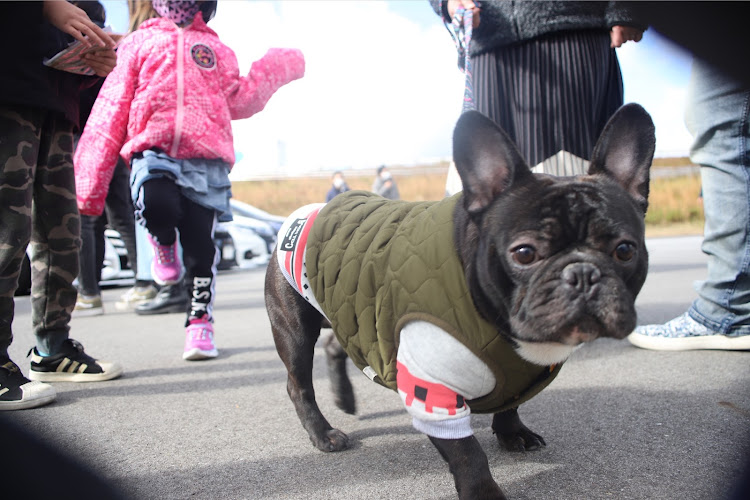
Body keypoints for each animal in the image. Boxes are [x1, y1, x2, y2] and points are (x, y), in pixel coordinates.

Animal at [268, 103, 656, 498]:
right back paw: (324, 434)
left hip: (350, 314)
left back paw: (345, 399)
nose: (582, 273)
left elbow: (511, 405)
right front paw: (483, 492)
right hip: (294, 329)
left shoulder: (518, 380)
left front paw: (513, 433)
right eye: (524, 253)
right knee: (298, 384)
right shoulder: (433, 391)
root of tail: (306, 214)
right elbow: (467, 452)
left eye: (625, 250)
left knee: (337, 344)